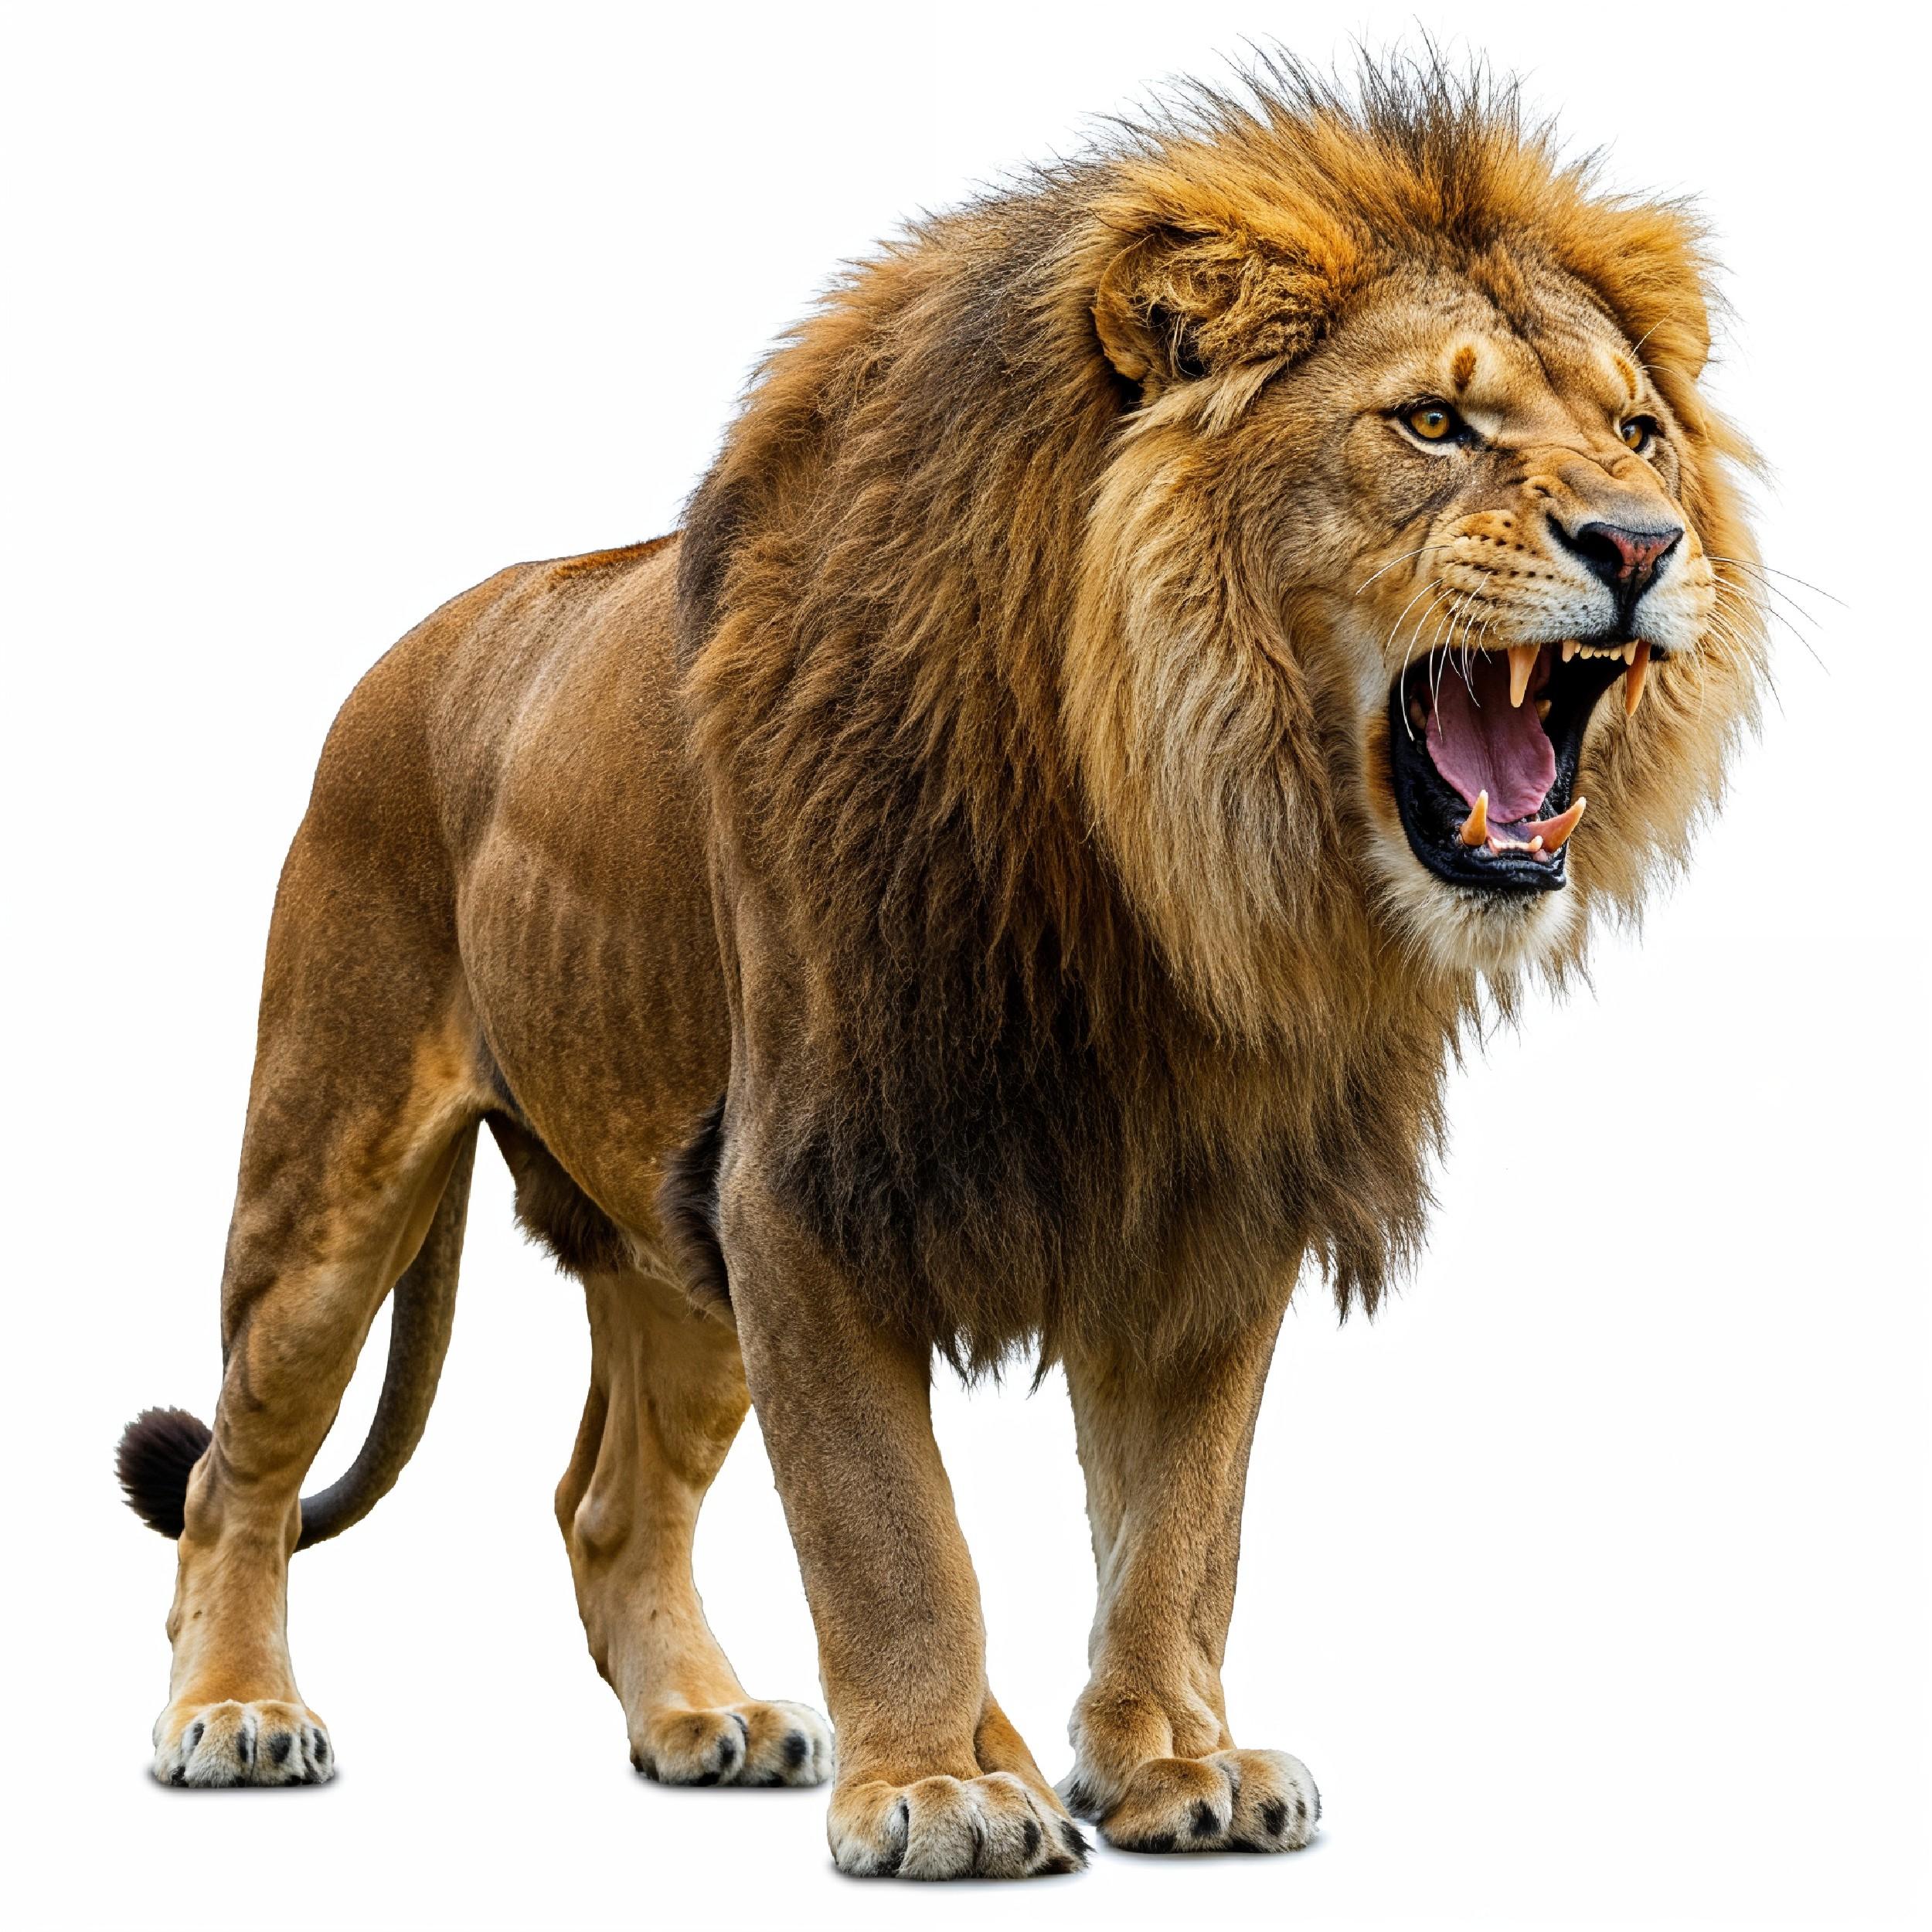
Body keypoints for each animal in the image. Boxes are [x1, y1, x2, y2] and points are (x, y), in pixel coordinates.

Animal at [115, 56, 1765, 1878]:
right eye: (1430, 423)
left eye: (1635, 430)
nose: (1641, 543)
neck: (1166, 871)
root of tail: (416, 641)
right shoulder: (802, 1186)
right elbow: (890, 1527)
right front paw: (944, 1786)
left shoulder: (1213, 1199)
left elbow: (1183, 1529)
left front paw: (1169, 1759)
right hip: (334, 1164)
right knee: (240, 1469)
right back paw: (233, 1712)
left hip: (671, 1244)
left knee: (607, 1504)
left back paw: (700, 1719)